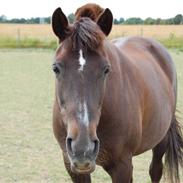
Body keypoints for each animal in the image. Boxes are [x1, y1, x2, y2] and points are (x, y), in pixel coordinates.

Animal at [51, 5, 183, 183]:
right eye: (56, 68)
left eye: (106, 69)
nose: (82, 148)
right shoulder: (72, 166)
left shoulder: (122, 166)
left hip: (161, 139)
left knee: (155, 170)